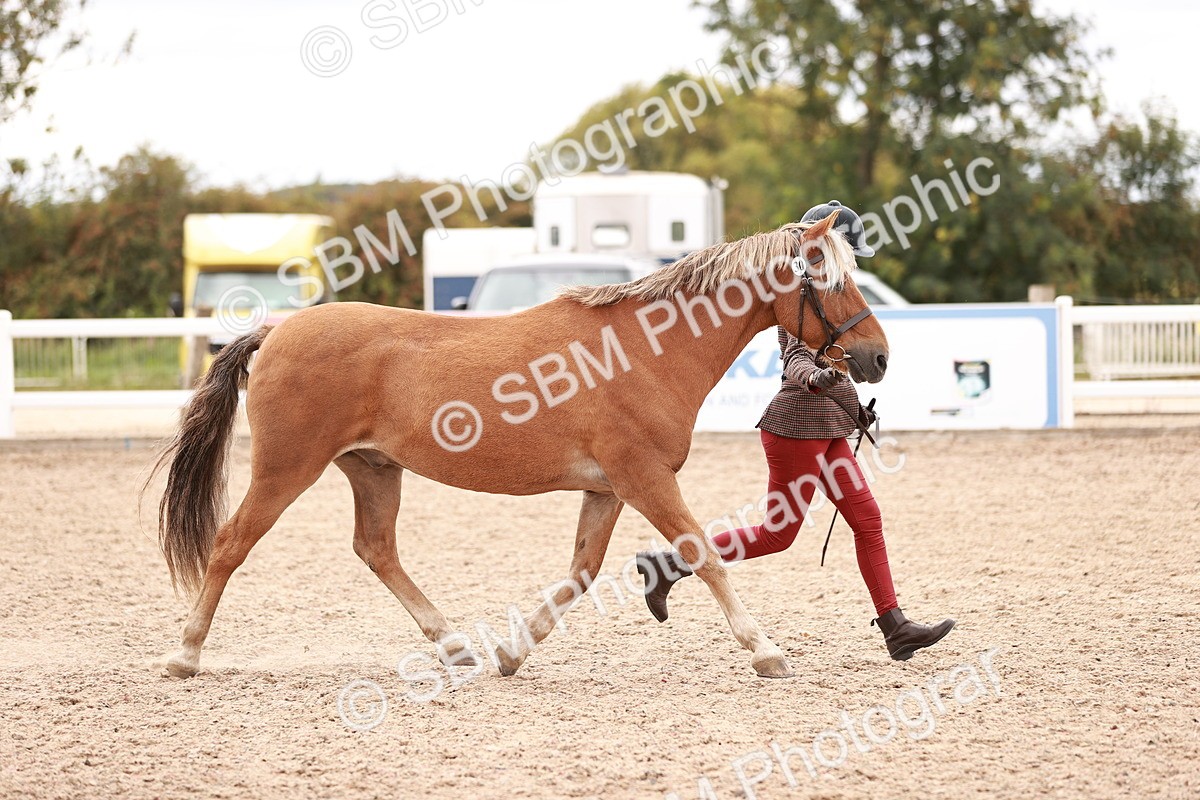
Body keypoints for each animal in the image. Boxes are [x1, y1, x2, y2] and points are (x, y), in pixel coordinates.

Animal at [147, 212, 889, 680]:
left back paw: (455, 648)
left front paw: (512, 654)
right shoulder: (645, 479)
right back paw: (183, 656)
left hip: (374, 469)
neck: (647, 350)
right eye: (829, 278)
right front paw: (766, 650)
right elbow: (703, 555)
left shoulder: (607, 488)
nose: (877, 356)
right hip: (286, 468)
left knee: (376, 549)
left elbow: (582, 574)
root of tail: (274, 332)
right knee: (230, 544)